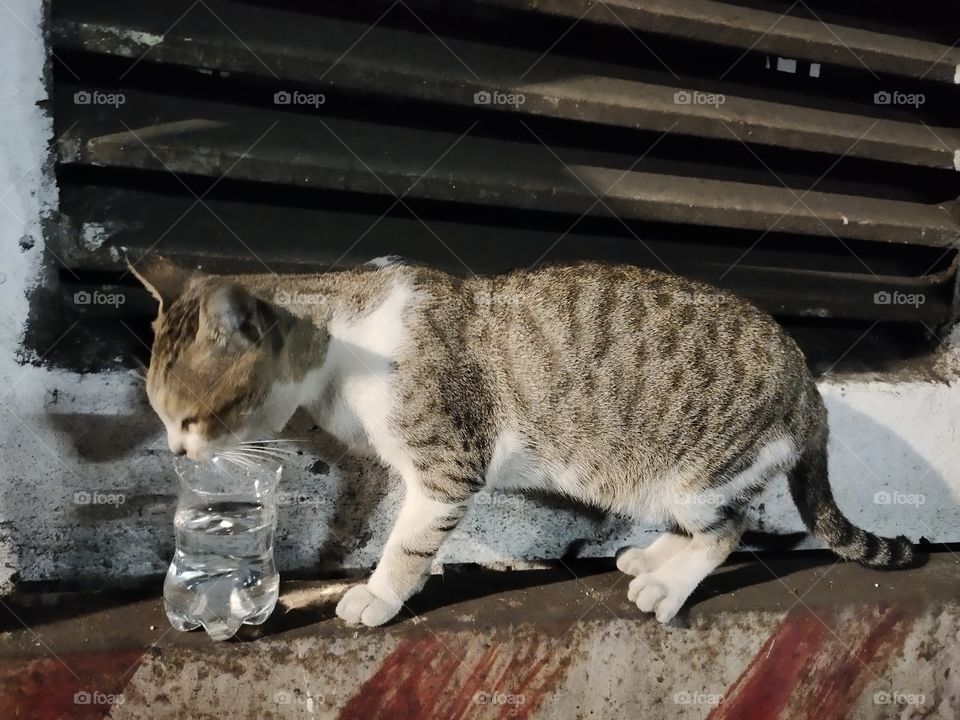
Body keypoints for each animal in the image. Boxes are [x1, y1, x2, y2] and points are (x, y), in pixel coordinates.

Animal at [131, 258, 912, 624]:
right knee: (709, 523)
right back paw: (654, 557)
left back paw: (668, 585)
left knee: (730, 528)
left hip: (700, 468)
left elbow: (407, 544)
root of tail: (810, 390)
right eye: (162, 416)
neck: (346, 339)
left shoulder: (447, 465)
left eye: (191, 418)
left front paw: (379, 595)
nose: (175, 453)